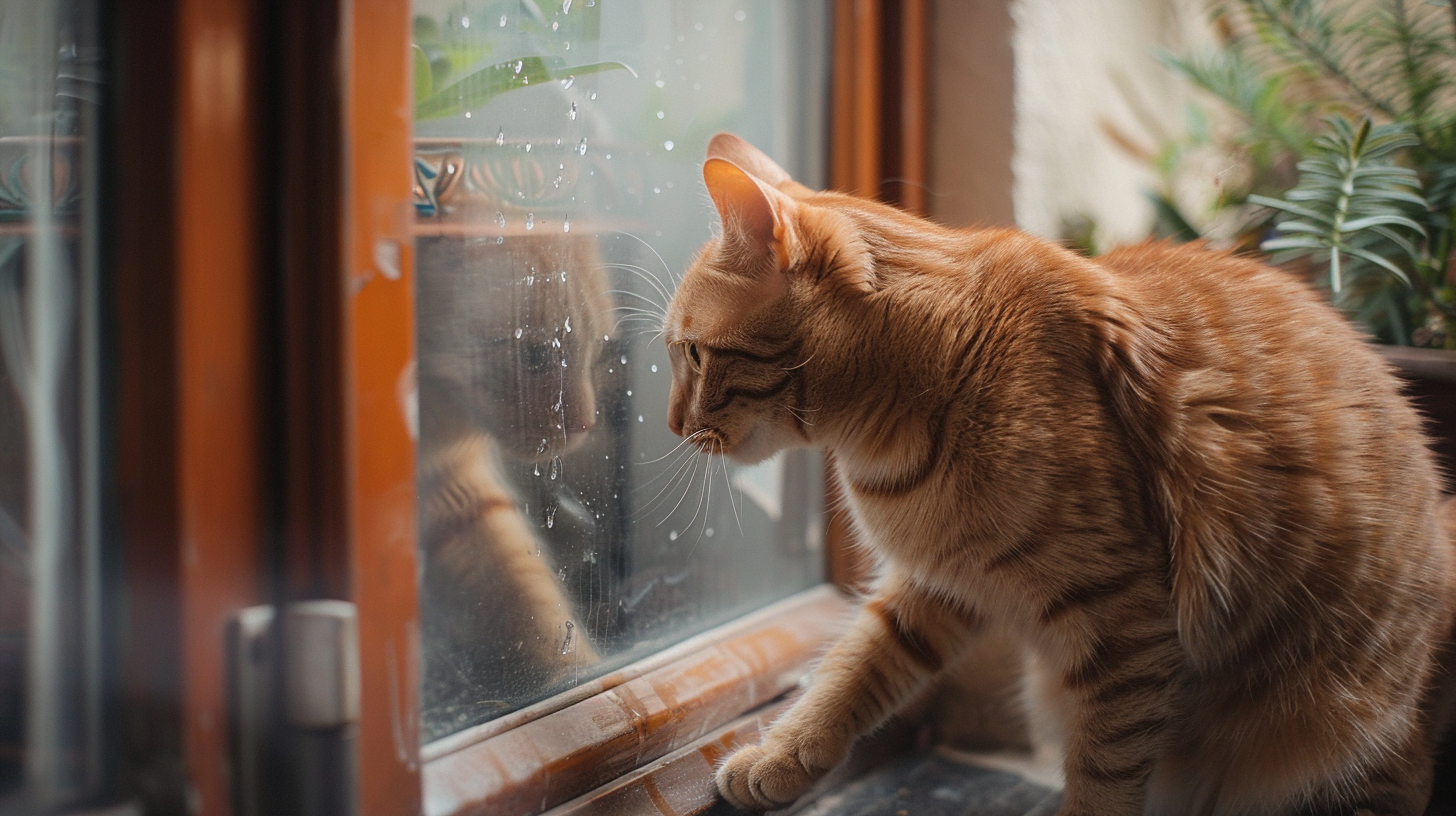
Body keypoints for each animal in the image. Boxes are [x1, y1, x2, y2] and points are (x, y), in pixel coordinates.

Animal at [669, 134, 1456, 816]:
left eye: (695, 355)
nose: (674, 424)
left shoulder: (1124, 622)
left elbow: (1104, 771)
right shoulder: (936, 583)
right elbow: (851, 672)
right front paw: (780, 756)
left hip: (1337, 730)